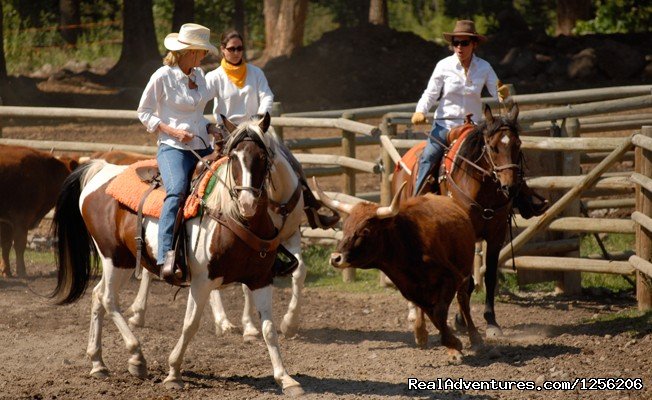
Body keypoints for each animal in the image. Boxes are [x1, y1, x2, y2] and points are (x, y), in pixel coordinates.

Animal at [52, 114, 304, 396]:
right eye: (233, 157)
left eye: (262, 157)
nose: (247, 203)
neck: (233, 218)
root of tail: (102, 169)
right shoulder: (202, 281)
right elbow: (190, 324)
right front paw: (173, 373)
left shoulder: (261, 279)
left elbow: (269, 329)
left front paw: (286, 379)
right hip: (112, 257)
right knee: (108, 299)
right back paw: (136, 357)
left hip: (124, 262)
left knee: (98, 296)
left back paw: (98, 363)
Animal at [390, 104, 524, 338]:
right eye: (493, 147)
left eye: (518, 145)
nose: (511, 187)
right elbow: (465, 280)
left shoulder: (496, 234)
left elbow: (488, 277)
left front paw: (489, 322)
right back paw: (415, 314)